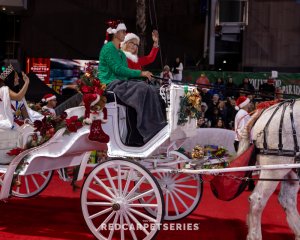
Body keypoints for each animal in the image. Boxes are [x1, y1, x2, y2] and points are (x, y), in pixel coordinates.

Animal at [237, 100, 300, 240]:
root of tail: (264, 113)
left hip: (290, 169)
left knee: (287, 200)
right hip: (274, 167)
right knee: (257, 200)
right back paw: (255, 236)